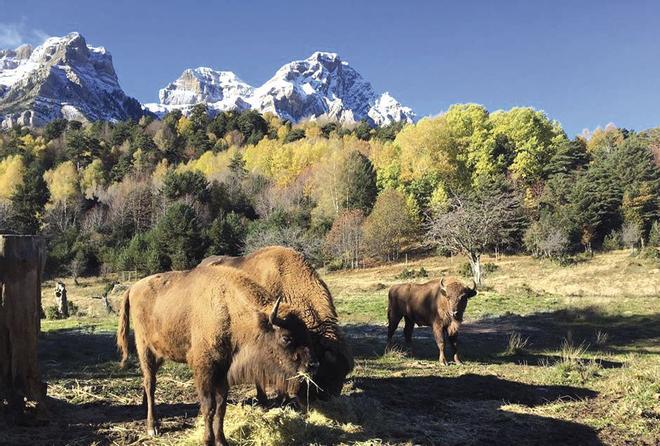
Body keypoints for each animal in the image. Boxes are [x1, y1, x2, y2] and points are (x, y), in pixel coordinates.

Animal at [116, 264, 318, 446]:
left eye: (306, 334)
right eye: (286, 337)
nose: (312, 365)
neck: (230, 311)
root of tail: (133, 288)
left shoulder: (223, 370)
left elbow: (221, 407)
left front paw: (221, 441)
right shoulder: (204, 370)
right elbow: (209, 406)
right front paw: (207, 440)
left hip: (160, 353)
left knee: (147, 382)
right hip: (145, 349)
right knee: (150, 383)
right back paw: (152, 427)